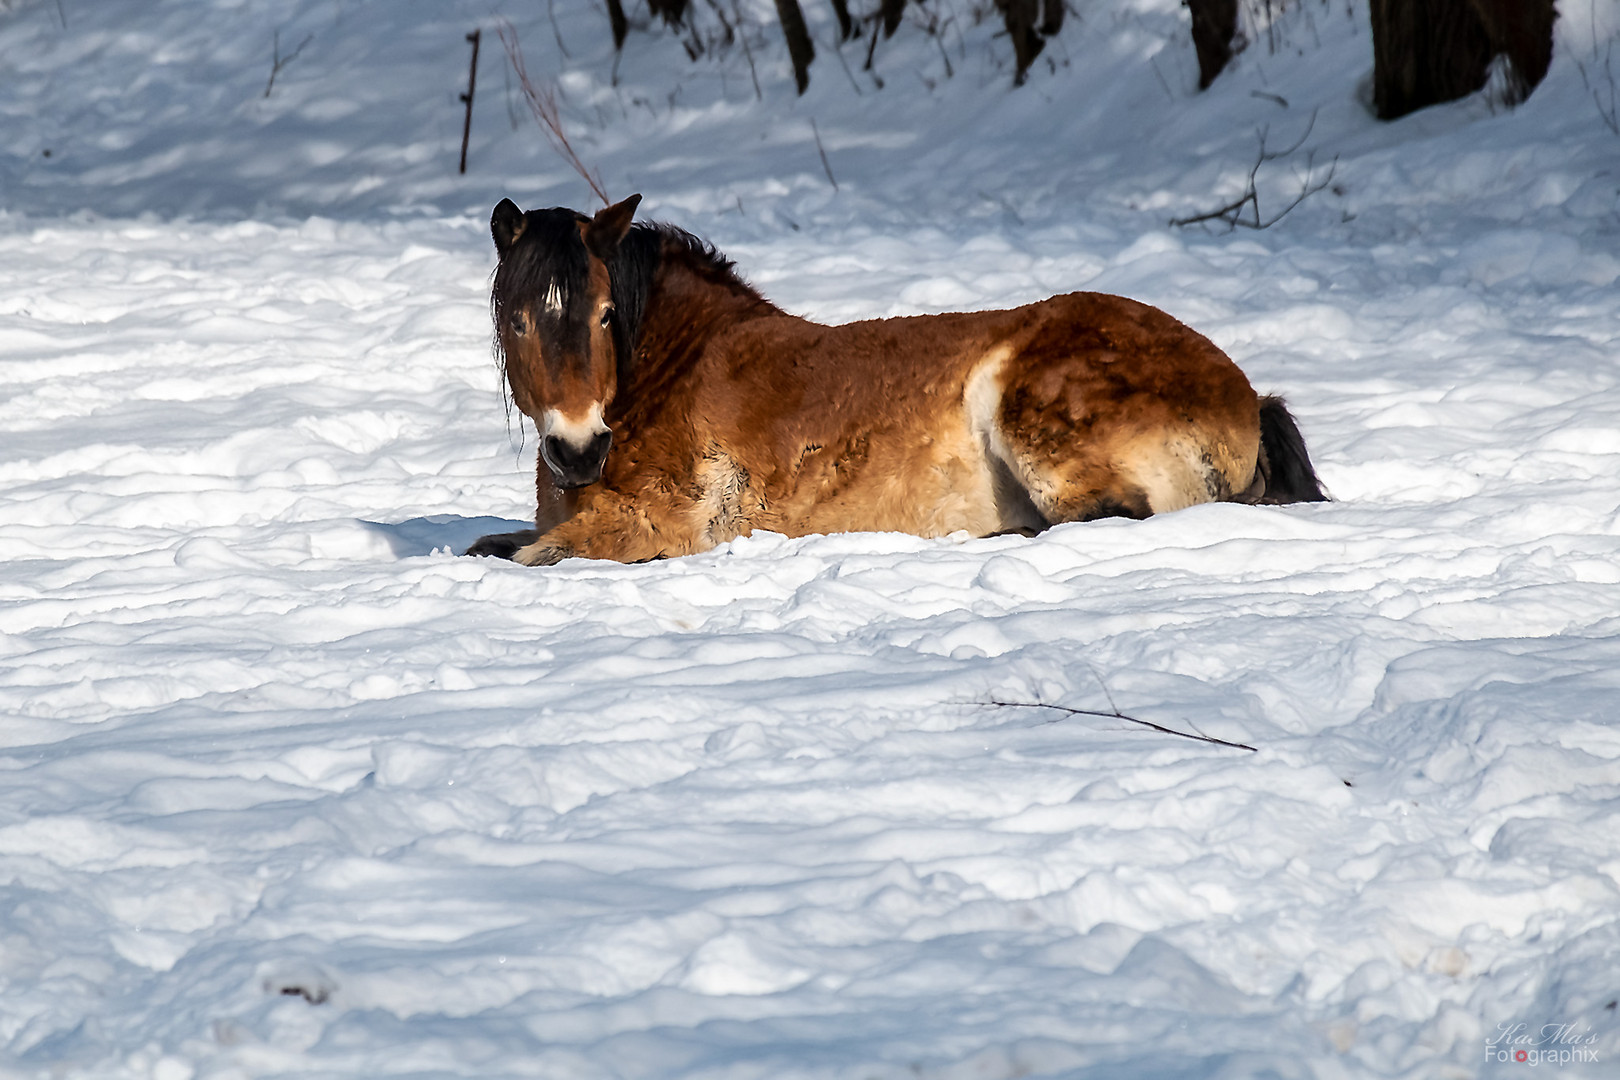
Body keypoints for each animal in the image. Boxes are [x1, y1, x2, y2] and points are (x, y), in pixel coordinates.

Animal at [469, 195, 1328, 566]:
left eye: (606, 314)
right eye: (516, 318)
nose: (579, 450)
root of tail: (1245, 396)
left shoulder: (661, 524)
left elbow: (531, 556)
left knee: (1104, 515)